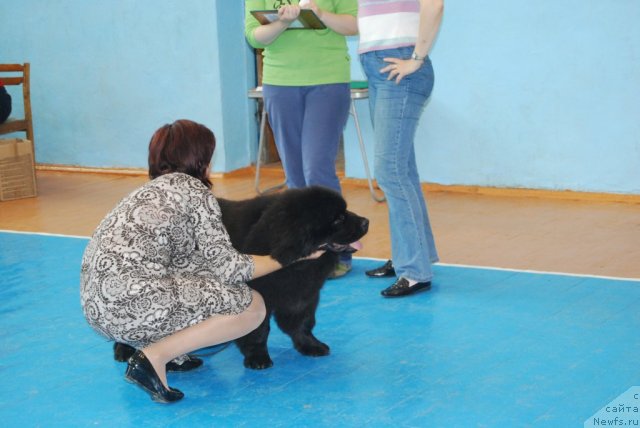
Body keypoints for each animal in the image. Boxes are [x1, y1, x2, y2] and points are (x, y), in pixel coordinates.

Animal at [112, 187, 368, 372]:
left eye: (346, 212)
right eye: (338, 219)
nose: (366, 221)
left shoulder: (302, 296)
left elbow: (302, 324)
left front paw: (310, 346)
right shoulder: (259, 296)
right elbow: (258, 331)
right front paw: (258, 358)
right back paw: (124, 351)